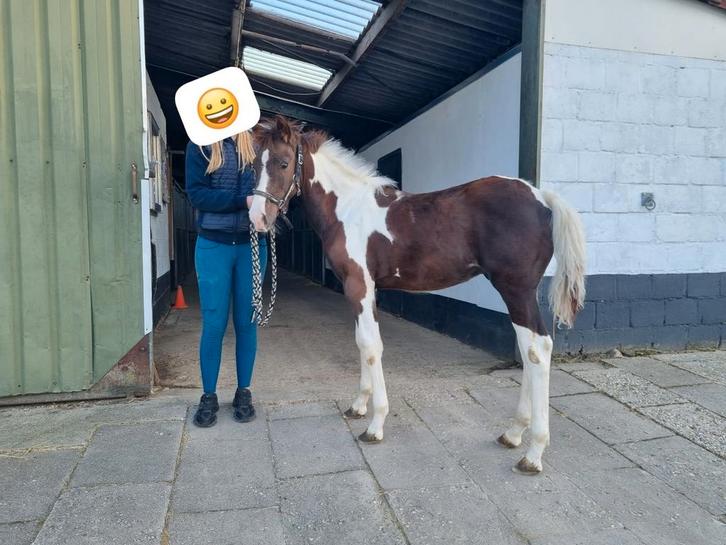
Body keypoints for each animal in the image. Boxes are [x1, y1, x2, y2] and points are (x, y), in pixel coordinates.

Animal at [249, 116, 586, 475]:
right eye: (254, 164)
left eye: (284, 163)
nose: (258, 218)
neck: (349, 209)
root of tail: (542, 197)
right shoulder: (360, 291)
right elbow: (361, 343)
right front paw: (358, 406)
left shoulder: (359, 285)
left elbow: (371, 346)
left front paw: (375, 425)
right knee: (528, 349)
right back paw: (513, 434)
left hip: (516, 290)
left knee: (538, 349)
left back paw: (533, 453)